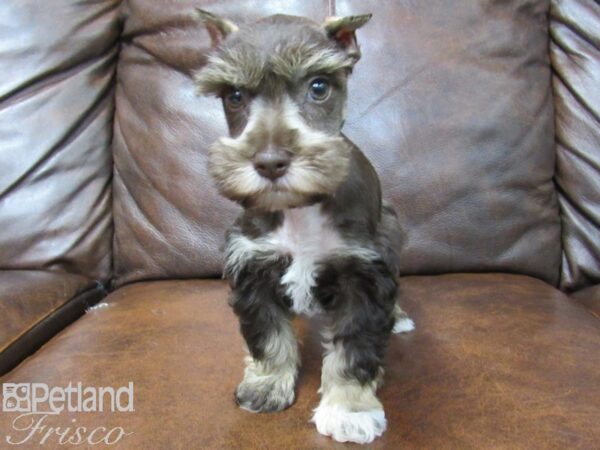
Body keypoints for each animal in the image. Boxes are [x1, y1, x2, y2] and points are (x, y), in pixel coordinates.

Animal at [195, 8, 414, 444]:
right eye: (234, 96)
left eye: (319, 87)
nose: (270, 161)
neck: (300, 208)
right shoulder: (254, 267)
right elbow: (267, 335)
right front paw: (266, 385)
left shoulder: (363, 276)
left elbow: (354, 350)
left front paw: (350, 410)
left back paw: (398, 316)